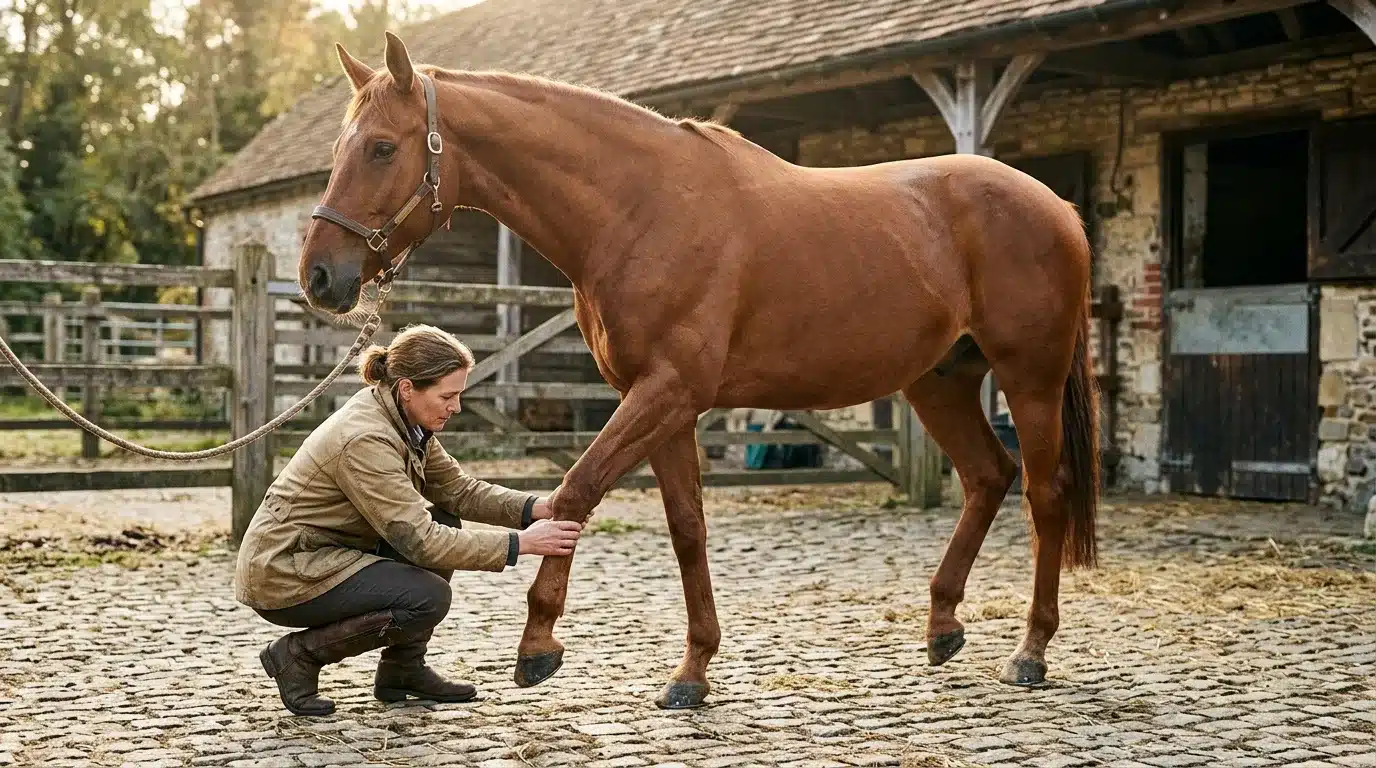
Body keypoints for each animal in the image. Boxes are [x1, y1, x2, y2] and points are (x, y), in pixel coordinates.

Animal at [297, 31, 1100, 710]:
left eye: (380, 148)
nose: (319, 277)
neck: (640, 207)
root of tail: (1057, 207)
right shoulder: (663, 402)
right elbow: (687, 528)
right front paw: (691, 672)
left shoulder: (667, 391)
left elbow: (575, 489)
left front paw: (538, 644)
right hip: (939, 381)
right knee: (988, 476)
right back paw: (942, 627)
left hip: (1028, 377)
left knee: (1044, 493)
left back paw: (1030, 652)